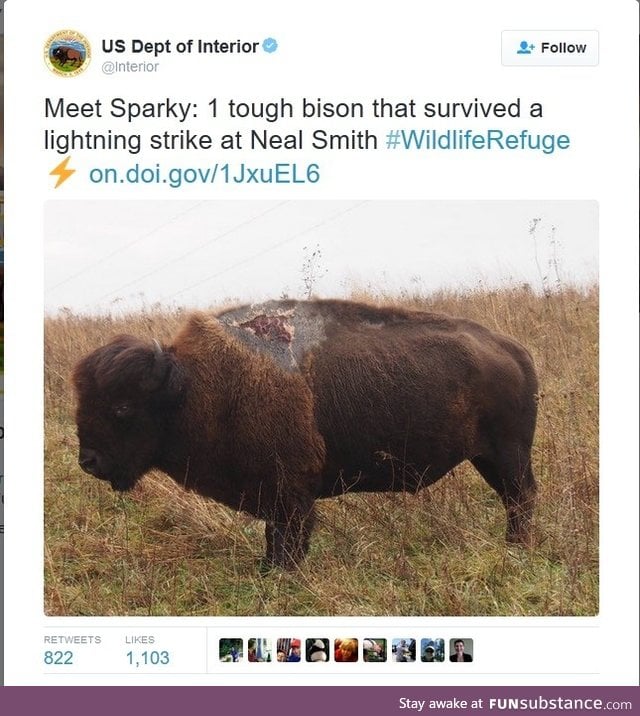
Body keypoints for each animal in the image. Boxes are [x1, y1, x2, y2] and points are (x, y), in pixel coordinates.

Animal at [72, 300, 536, 568]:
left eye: (122, 406)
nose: (88, 461)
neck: (190, 386)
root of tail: (513, 349)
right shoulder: (273, 495)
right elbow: (272, 538)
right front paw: (267, 569)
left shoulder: (291, 495)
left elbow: (289, 538)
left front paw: (283, 573)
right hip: (488, 458)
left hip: (508, 455)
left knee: (521, 497)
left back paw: (517, 550)